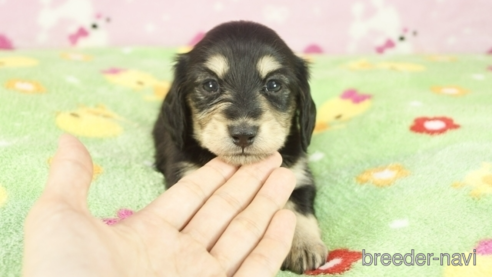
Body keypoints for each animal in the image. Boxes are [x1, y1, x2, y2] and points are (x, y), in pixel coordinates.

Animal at [151, 21, 326, 272]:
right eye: (210, 85)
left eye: (274, 84)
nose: (243, 135)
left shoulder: (297, 175)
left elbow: (297, 210)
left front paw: (304, 245)